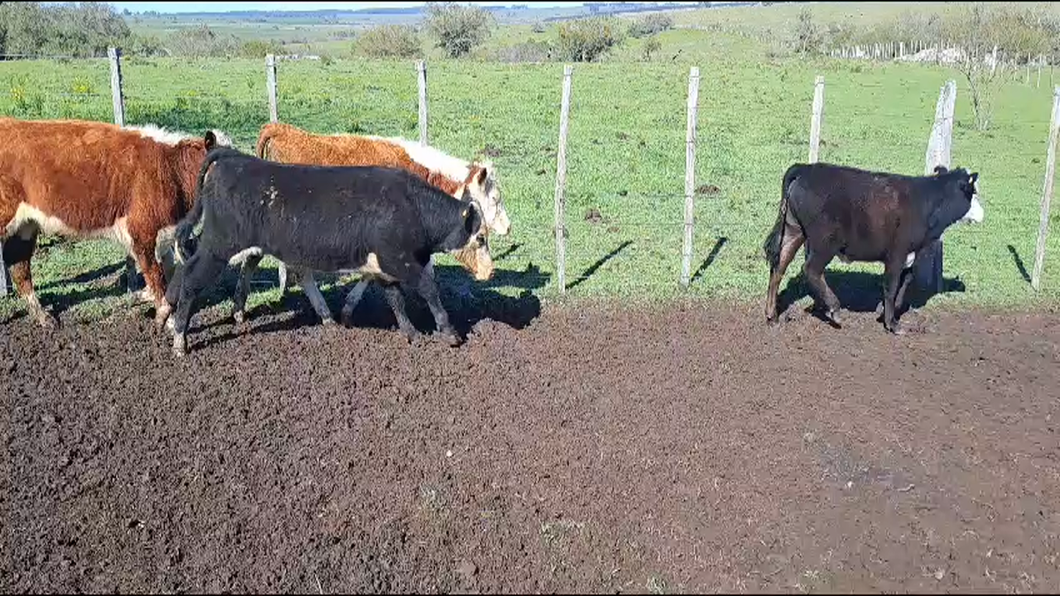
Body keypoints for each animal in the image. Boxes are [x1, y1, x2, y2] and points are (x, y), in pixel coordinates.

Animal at [0, 116, 231, 326]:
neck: (171, 168)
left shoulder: (164, 233)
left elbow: (169, 270)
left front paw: (142, 296)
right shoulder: (142, 232)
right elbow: (157, 278)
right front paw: (169, 320)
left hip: (24, 226)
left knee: (20, 269)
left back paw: (43, 317)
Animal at [164, 145, 491, 354]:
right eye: (481, 238)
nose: (490, 272)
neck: (411, 207)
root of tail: (234, 158)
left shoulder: (384, 267)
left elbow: (395, 300)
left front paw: (411, 334)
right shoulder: (399, 261)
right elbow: (427, 288)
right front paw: (449, 333)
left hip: (213, 245)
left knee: (185, 268)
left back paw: (167, 316)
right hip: (218, 247)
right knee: (191, 280)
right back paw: (180, 338)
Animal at [767, 161, 979, 335]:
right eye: (973, 191)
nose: (981, 213)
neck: (925, 201)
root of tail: (806, 169)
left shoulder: (909, 256)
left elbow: (904, 282)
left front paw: (883, 311)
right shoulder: (896, 254)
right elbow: (891, 286)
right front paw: (892, 325)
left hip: (793, 231)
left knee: (779, 266)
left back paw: (772, 316)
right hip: (825, 243)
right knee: (810, 269)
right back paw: (834, 309)